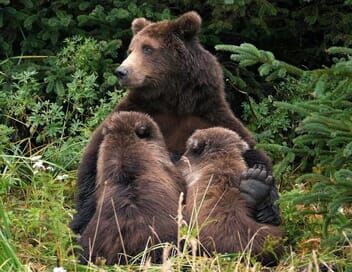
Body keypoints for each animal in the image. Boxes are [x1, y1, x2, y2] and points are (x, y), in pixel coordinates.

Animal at [70, 11, 282, 235]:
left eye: (148, 48)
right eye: (131, 49)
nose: (121, 71)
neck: (174, 100)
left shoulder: (209, 114)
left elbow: (253, 153)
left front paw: (262, 189)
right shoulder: (137, 112)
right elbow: (94, 161)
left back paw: (255, 189)